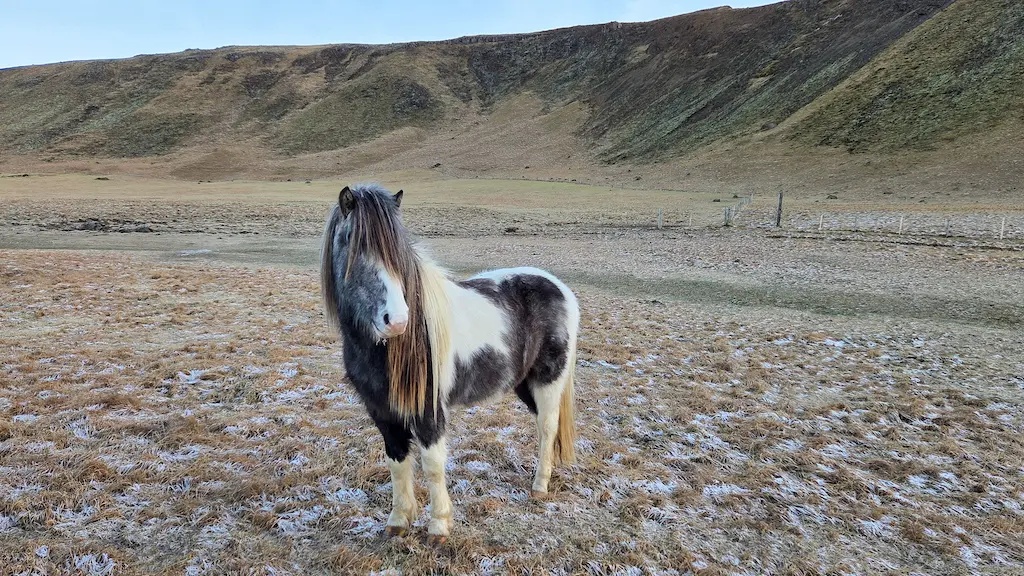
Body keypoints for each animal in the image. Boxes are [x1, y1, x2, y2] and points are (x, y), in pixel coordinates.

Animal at [318, 183, 580, 543]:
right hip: (524, 386)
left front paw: (438, 527)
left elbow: (432, 465)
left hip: (548, 381)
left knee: (548, 427)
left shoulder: (429, 412)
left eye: (398, 252)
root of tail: (560, 287)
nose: (397, 321)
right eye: (350, 241)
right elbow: (397, 462)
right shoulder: (383, 412)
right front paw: (398, 520)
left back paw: (539, 486)